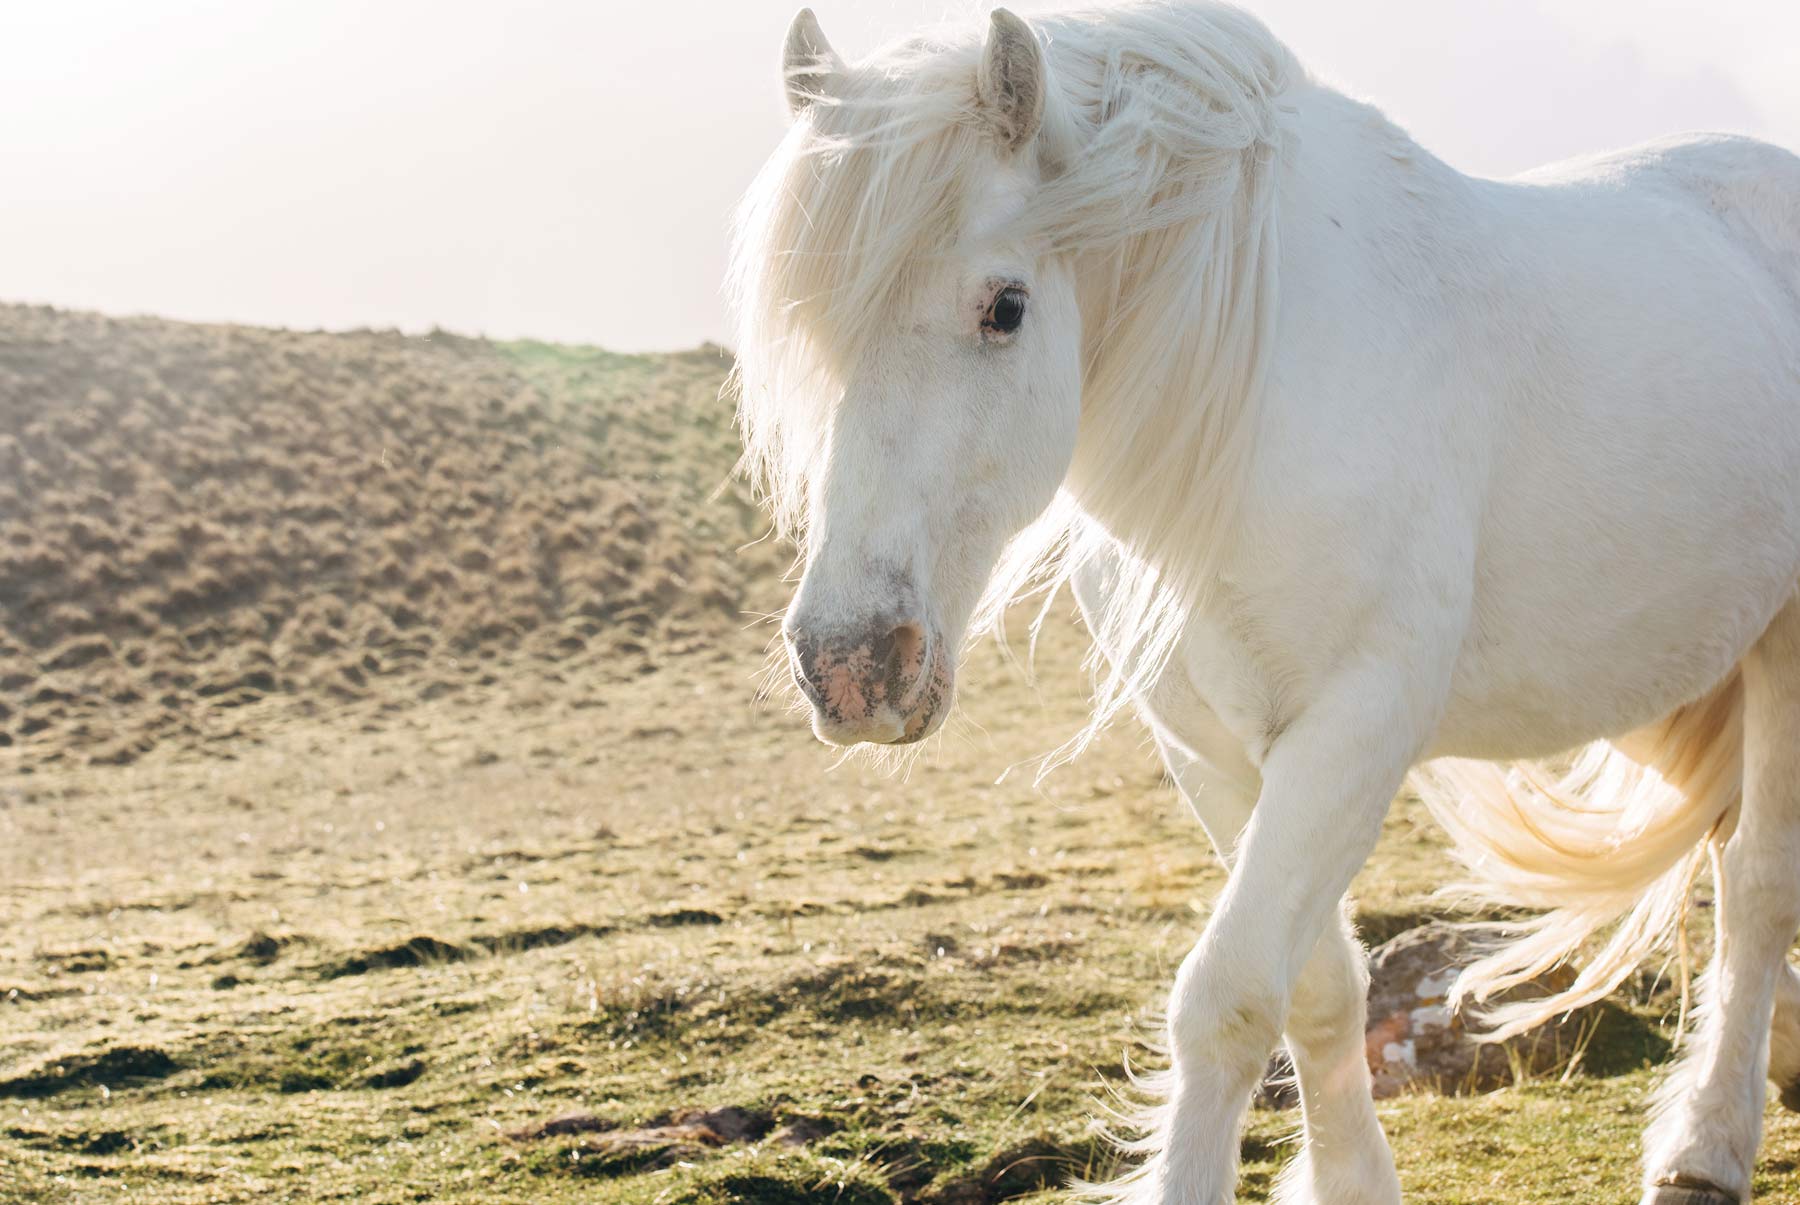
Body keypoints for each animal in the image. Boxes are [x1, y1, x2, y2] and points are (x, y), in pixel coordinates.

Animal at [727, 4, 1800, 1195]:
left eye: (1005, 307)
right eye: (805, 337)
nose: (851, 663)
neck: (1253, 391)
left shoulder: (1354, 725)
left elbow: (1230, 997)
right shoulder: (1213, 748)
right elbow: (1321, 985)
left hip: (1784, 649)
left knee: (1757, 884)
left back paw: (1707, 1145)